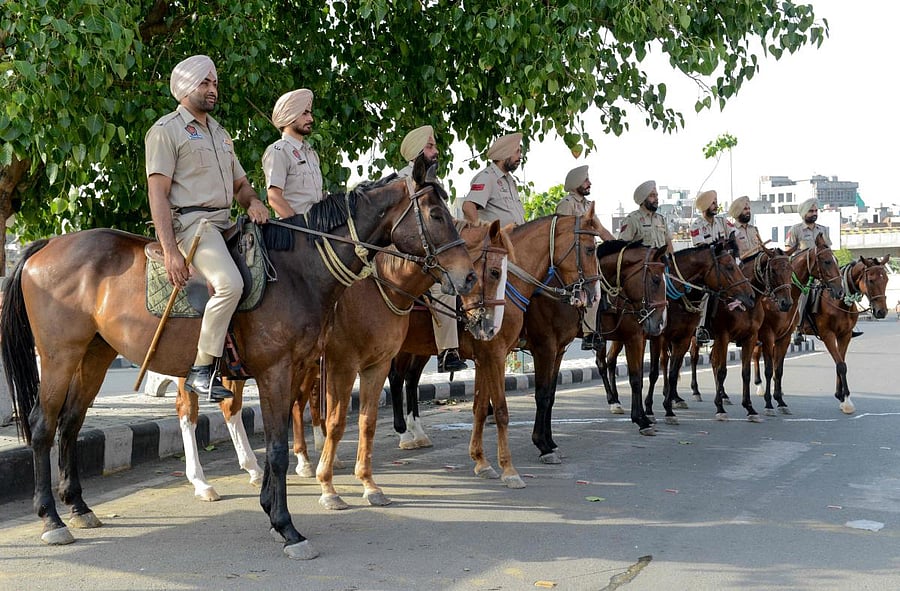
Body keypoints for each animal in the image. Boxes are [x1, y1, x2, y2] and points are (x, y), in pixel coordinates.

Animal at [0, 175, 477, 559]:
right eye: (436, 213)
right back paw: (52, 519)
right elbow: (281, 448)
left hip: (94, 354)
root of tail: (47, 245)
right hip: (59, 355)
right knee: (44, 425)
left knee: (71, 424)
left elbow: (291, 437)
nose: (468, 276)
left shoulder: (299, 370)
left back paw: (79, 508)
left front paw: (274, 508)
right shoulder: (280, 371)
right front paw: (287, 526)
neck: (298, 271)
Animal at [391, 210, 603, 488]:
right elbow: (516, 404)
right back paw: (404, 435)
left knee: (411, 378)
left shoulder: (508, 354)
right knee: (396, 378)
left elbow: (483, 407)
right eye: (590, 249)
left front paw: (483, 462)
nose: (594, 293)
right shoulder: (523, 351)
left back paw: (417, 432)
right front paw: (530, 455)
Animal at [602, 237, 757, 427]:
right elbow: (654, 372)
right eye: (729, 267)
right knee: (608, 361)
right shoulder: (658, 337)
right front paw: (650, 409)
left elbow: (673, 373)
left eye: (739, 263)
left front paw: (668, 410)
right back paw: (614, 400)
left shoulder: (683, 338)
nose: (751, 296)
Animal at [698, 234, 841, 421]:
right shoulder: (764, 336)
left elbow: (776, 370)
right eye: (827, 261)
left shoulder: (782, 337)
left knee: (714, 361)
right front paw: (768, 404)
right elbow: (767, 369)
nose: (839, 291)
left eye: (790, 270)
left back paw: (723, 395)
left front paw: (779, 402)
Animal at [754, 253, 890, 415]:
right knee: (756, 355)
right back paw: (760, 387)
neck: (839, 301)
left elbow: (841, 363)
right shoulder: (828, 335)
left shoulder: (845, 336)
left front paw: (840, 396)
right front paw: (847, 401)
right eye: (871, 280)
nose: (881, 312)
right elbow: (841, 365)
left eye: (886, 280)